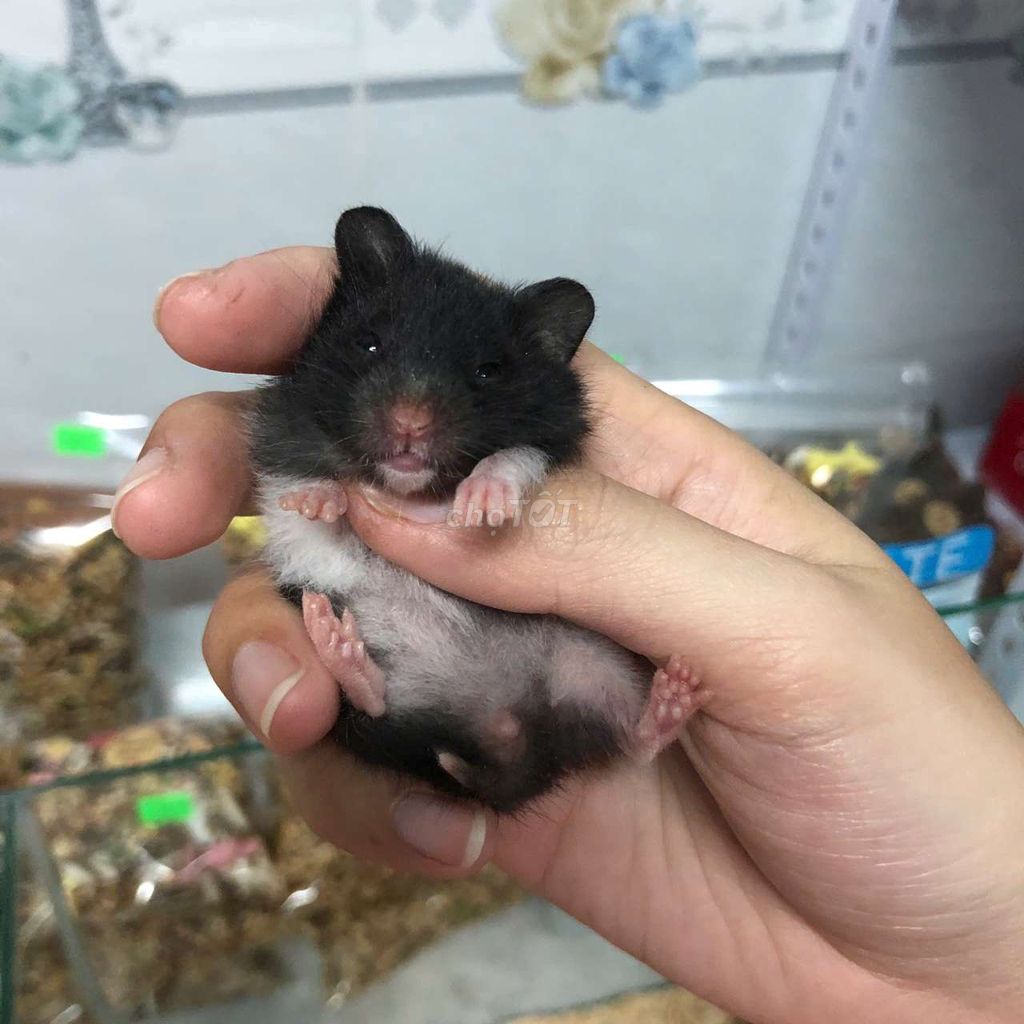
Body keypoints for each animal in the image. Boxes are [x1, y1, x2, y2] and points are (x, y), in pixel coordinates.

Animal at [250, 207, 706, 812]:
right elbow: (307, 493)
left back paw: (676, 694)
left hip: (590, 666)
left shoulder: (555, 442)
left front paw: (480, 509)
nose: (410, 424)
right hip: (370, 716)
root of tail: (504, 731)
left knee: (630, 742)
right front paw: (316, 500)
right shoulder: (281, 434)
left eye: (488, 370)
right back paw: (337, 645)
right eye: (369, 343)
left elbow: (515, 455)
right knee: (373, 706)